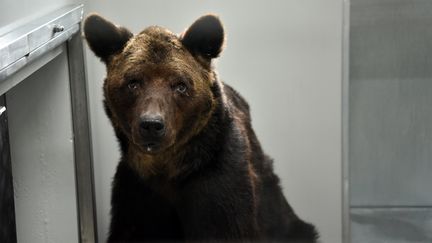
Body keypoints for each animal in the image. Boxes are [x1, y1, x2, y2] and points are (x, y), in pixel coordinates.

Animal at [82, 13, 318, 243]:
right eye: (133, 82)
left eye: (180, 85)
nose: (151, 124)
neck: (169, 168)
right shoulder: (137, 194)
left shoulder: (217, 185)